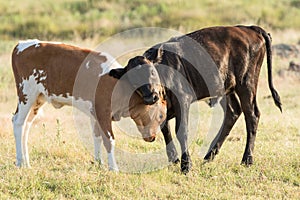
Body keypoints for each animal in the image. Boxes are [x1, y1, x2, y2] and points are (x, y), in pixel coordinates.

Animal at [11, 39, 166, 171]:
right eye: (160, 116)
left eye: (153, 72)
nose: (152, 96)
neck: (118, 84)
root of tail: (22, 44)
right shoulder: (103, 112)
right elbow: (109, 140)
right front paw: (113, 168)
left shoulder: (95, 114)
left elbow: (96, 137)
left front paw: (99, 163)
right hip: (26, 94)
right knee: (18, 122)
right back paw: (19, 162)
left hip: (37, 100)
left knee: (27, 125)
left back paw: (26, 162)